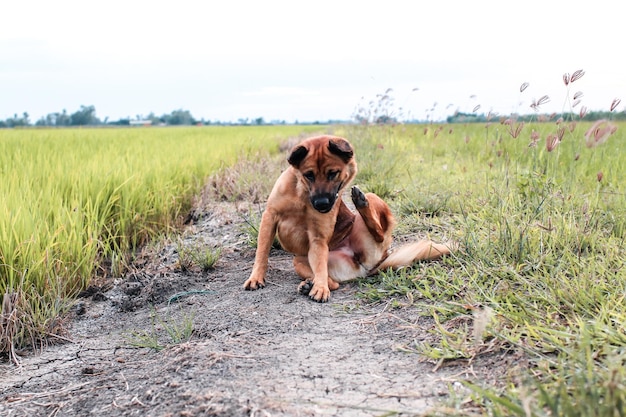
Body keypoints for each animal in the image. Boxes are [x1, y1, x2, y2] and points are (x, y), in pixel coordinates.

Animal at [241, 135, 450, 300]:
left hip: (372, 208)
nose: (322, 204)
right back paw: (309, 284)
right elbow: (262, 253)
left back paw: (361, 203)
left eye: (333, 173)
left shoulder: (318, 238)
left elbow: (319, 264)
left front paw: (319, 288)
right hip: (299, 261)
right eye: (309, 175)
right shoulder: (269, 219)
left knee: (379, 234)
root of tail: (368, 265)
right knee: (332, 281)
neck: (302, 195)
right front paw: (256, 278)